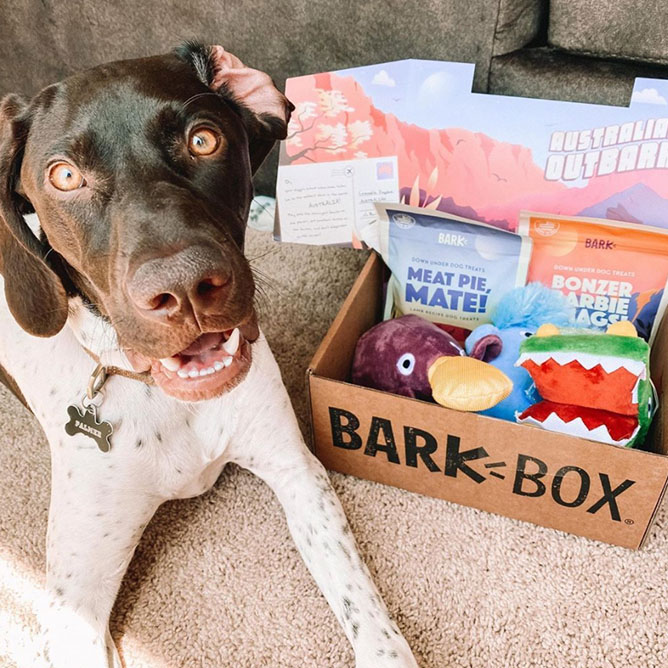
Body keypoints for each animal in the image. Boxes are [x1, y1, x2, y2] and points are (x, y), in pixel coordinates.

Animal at [0, 43, 418, 668]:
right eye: (65, 176)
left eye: (203, 139)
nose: (183, 287)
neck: (167, 400)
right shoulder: (72, 604)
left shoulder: (297, 470)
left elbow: (367, 615)